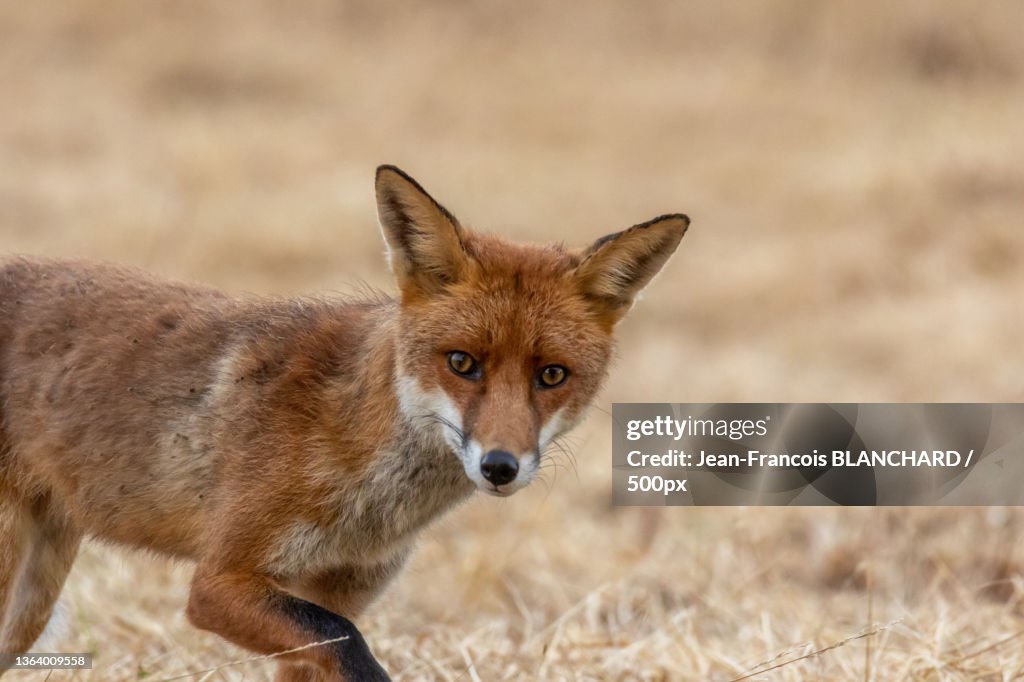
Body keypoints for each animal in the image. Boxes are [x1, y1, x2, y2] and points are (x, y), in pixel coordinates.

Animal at [0, 165, 689, 681]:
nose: (500, 466)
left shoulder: (328, 595)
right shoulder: (224, 581)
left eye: (551, 375)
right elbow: (351, 647)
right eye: (461, 363)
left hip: (33, 598)